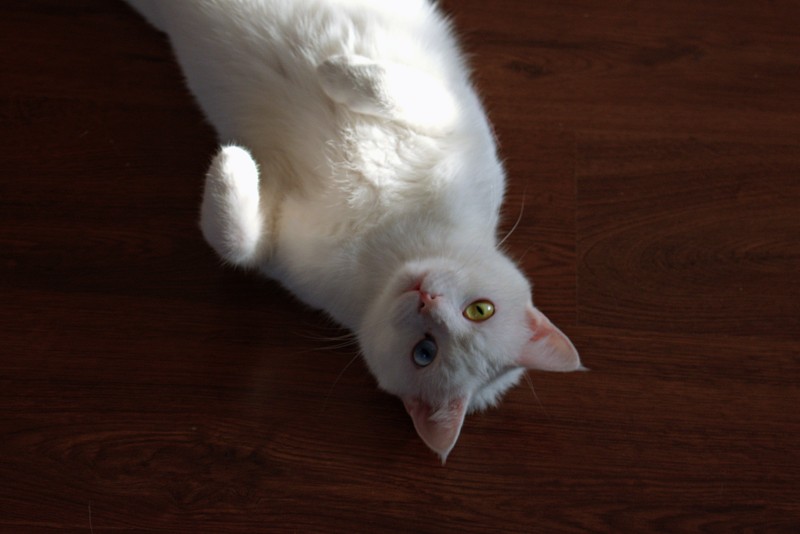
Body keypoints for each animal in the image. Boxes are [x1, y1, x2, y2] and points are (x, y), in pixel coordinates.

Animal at [126, 0, 588, 462]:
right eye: (481, 310)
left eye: (425, 352)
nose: (427, 298)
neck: (389, 236)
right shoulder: (452, 118)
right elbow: (393, 90)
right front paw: (335, 70)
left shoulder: (275, 243)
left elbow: (237, 243)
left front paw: (232, 161)